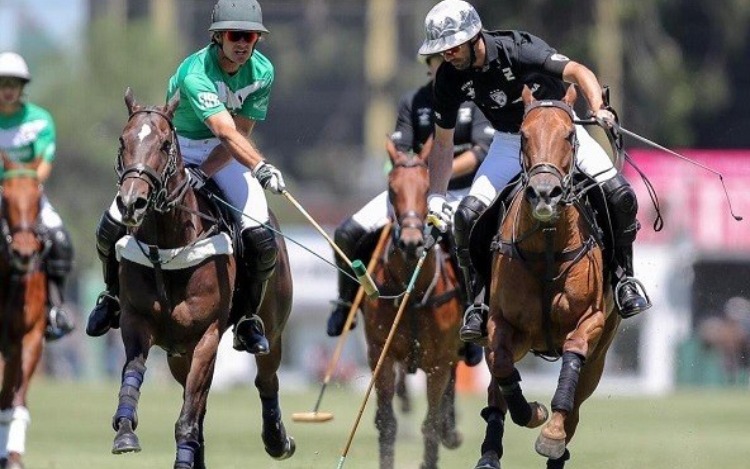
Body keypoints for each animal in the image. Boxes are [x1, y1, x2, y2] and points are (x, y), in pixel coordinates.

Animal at [109, 89, 296, 466]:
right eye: (123, 140)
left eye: (165, 143)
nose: (131, 203)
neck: (167, 246)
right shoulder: (136, 322)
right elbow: (133, 377)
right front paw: (124, 431)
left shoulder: (206, 336)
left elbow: (187, 419)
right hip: (177, 354)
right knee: (201, 407)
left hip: (273, 327)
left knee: (266, 378)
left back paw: (277, 440)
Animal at [362, 139, 468, 468]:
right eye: (391, 188)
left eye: (426, 188)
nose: (411, 243)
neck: (413, 288)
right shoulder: (379, 355)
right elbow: (387, 423)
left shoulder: (438, 364)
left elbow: (430, 424)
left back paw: (451, 430)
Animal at [476, 85, 624, 468]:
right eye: (524, 136)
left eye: (570, 135)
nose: (545, 194)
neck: (546, 245)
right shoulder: (501, 323)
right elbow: (501, 369)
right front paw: (532, 413)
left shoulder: (591, 321)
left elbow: (572, 359)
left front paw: (552, 434)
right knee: (496, 382)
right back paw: (489, 454)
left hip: (600, 355)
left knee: (576, 403)